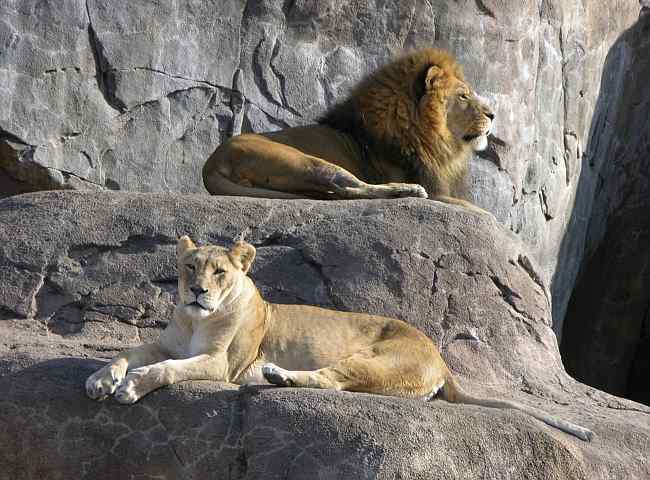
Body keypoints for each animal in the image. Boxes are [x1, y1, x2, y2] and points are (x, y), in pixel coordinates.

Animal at [86, 236, 593, 442]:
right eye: (190, 267)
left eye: (220, 273)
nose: (197, 291)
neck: (195, 321)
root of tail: (442, 359)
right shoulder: (166, 343)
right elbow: (128, 351)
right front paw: (100, 379)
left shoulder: (219, 364)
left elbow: (167, 369)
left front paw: (130, 387)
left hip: (374, 358)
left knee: (329, 380)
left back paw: (275, 375)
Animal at [202, 48, 494, 212]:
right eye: (464, 96)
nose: (492, 114)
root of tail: (211, 164)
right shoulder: (438, 193)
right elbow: (486, 214)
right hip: (303, 160)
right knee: (347, 187)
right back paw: (407, 191)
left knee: (338, 192)